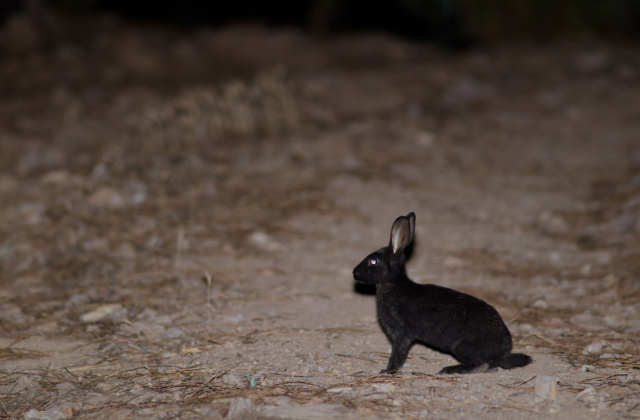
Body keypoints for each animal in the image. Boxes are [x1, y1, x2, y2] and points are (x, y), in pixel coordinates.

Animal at [352, 213, 532, 374]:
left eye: (373, 261)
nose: (354, 273)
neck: (393, 283)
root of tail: (503, 352)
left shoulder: (402, 333)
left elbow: (398, 354)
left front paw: (388, 371)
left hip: (461, 345)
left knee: (481, 364)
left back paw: (448, 370)